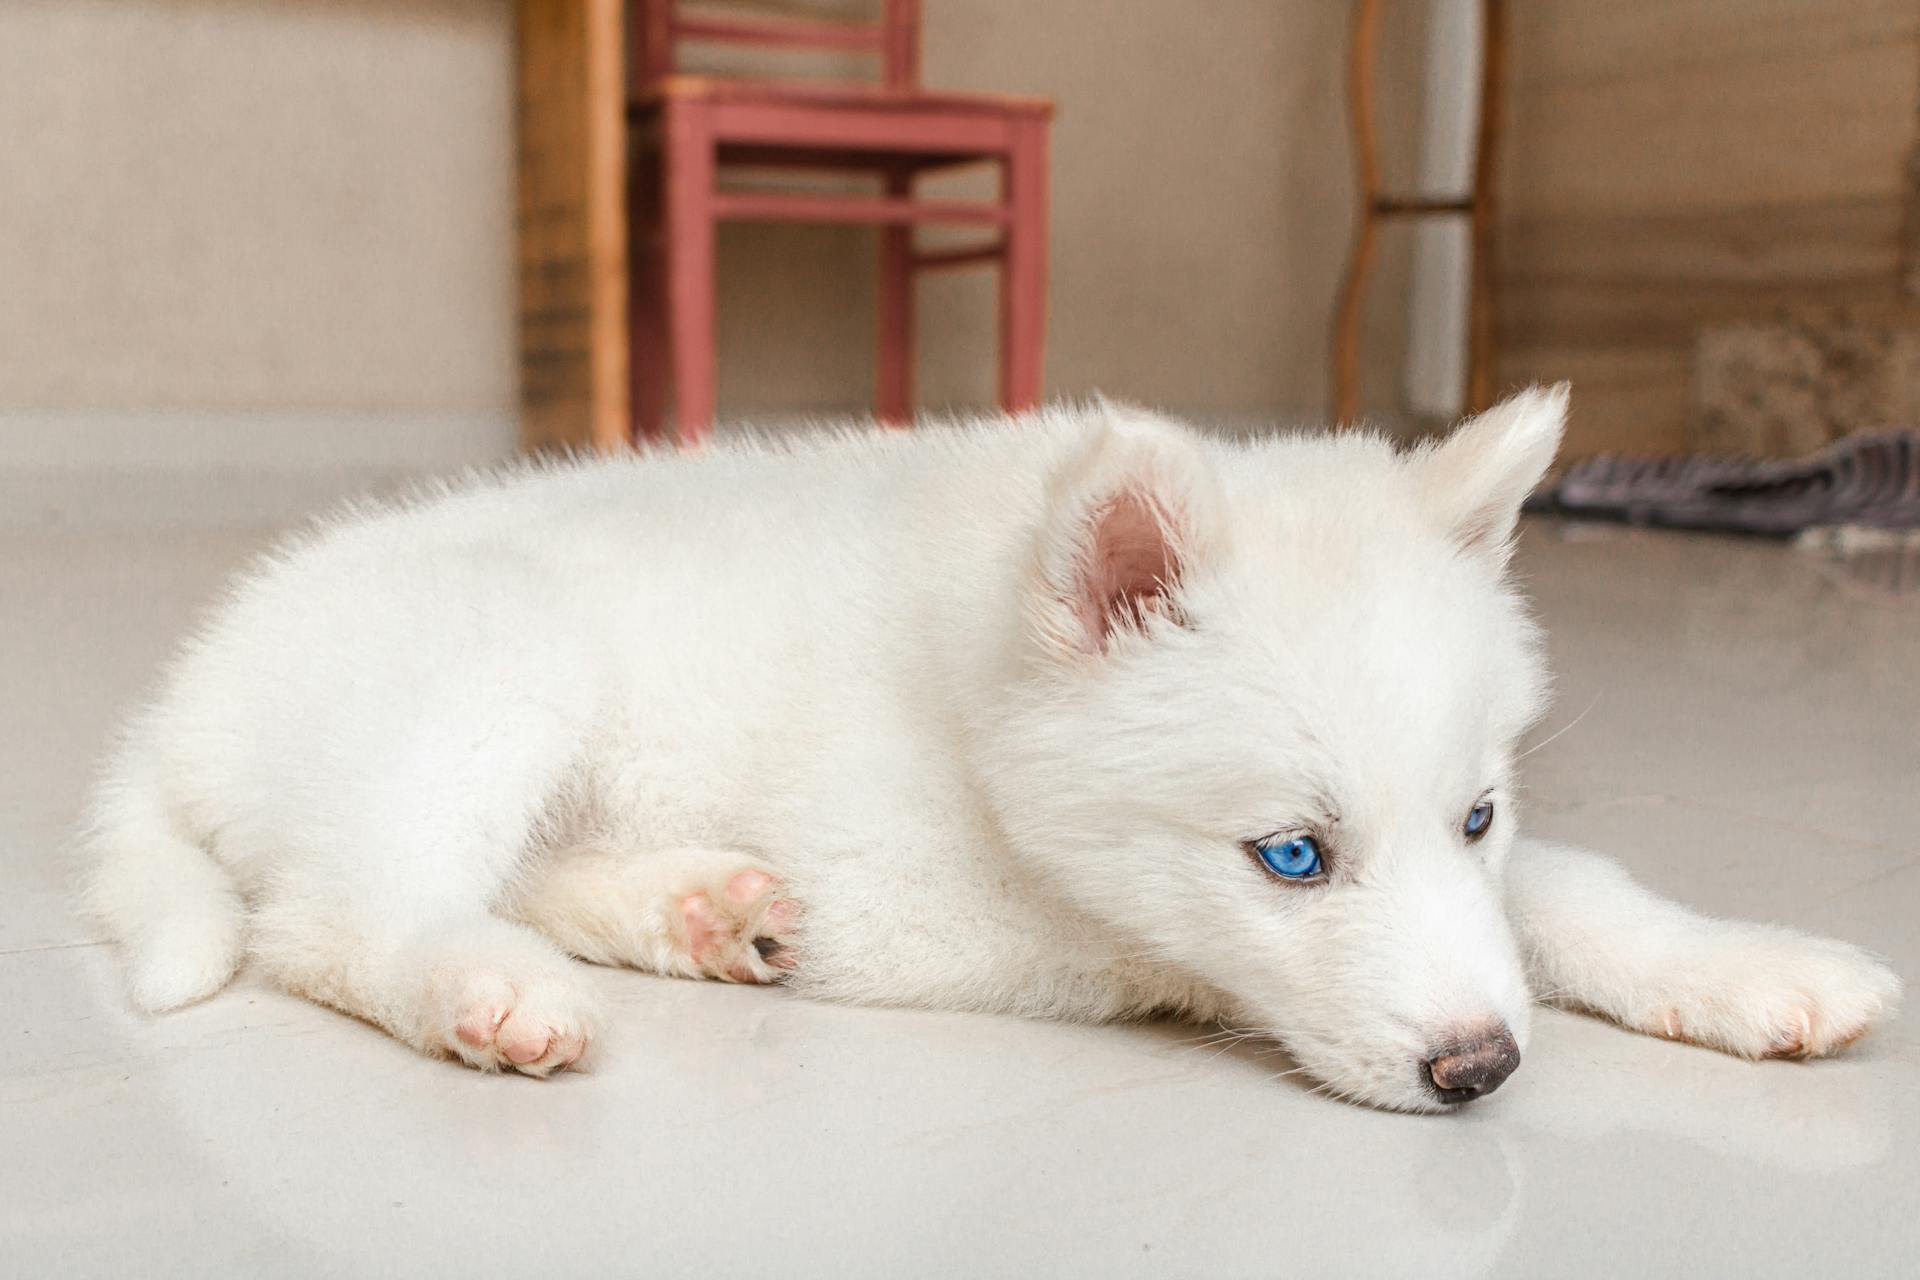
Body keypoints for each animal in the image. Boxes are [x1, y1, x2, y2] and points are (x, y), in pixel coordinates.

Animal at [82, 387, 1896, 1113]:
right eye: (1288, 857)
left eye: (1475, 816)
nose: (1479, 1073)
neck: (969, 690)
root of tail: (185, 690)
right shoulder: (924, 899)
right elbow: (1169, 953)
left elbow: (1563, 891)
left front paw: (1746, 967)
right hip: (494, 664)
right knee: (329, 915)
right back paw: (477, 984)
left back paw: (688, 911)